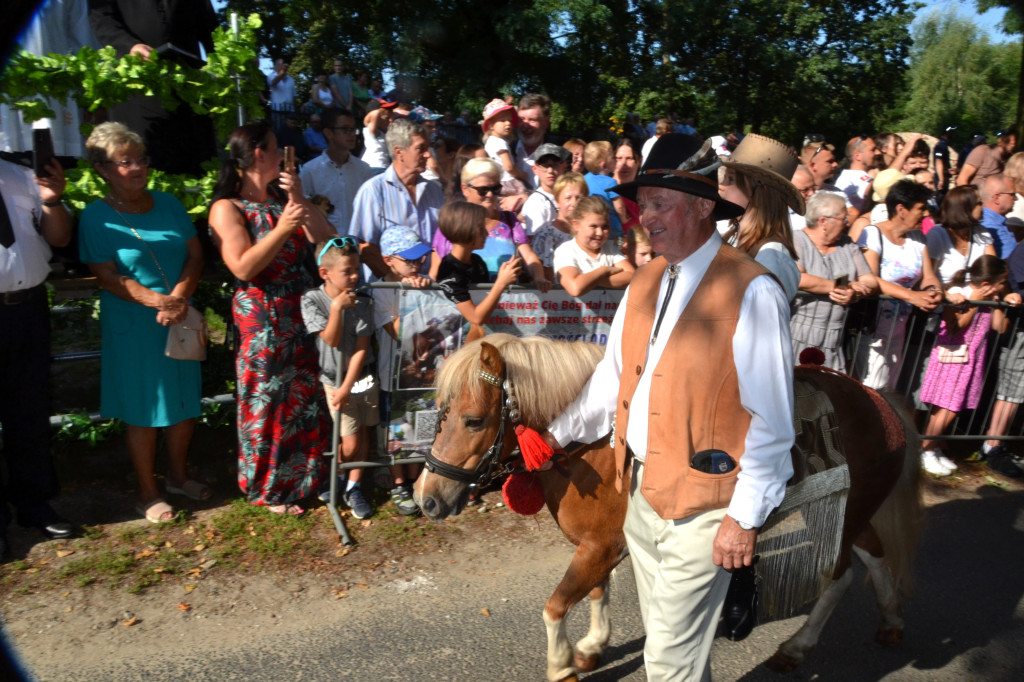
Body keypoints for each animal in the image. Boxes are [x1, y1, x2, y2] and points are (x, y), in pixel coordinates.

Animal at [411, 333, 925, 679]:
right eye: (440, 414)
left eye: (473, 420)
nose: (426, 498)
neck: (592, 444)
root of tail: (877, 398)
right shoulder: (601, 546)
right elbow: (596, 592)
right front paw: (592, 645)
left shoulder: (600, 546)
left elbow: (555, 606)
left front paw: (561, 665)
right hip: (851, 509)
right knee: (872, 556)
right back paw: (891, 619)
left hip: (844, 511)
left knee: (839, 576)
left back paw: (797, 645)